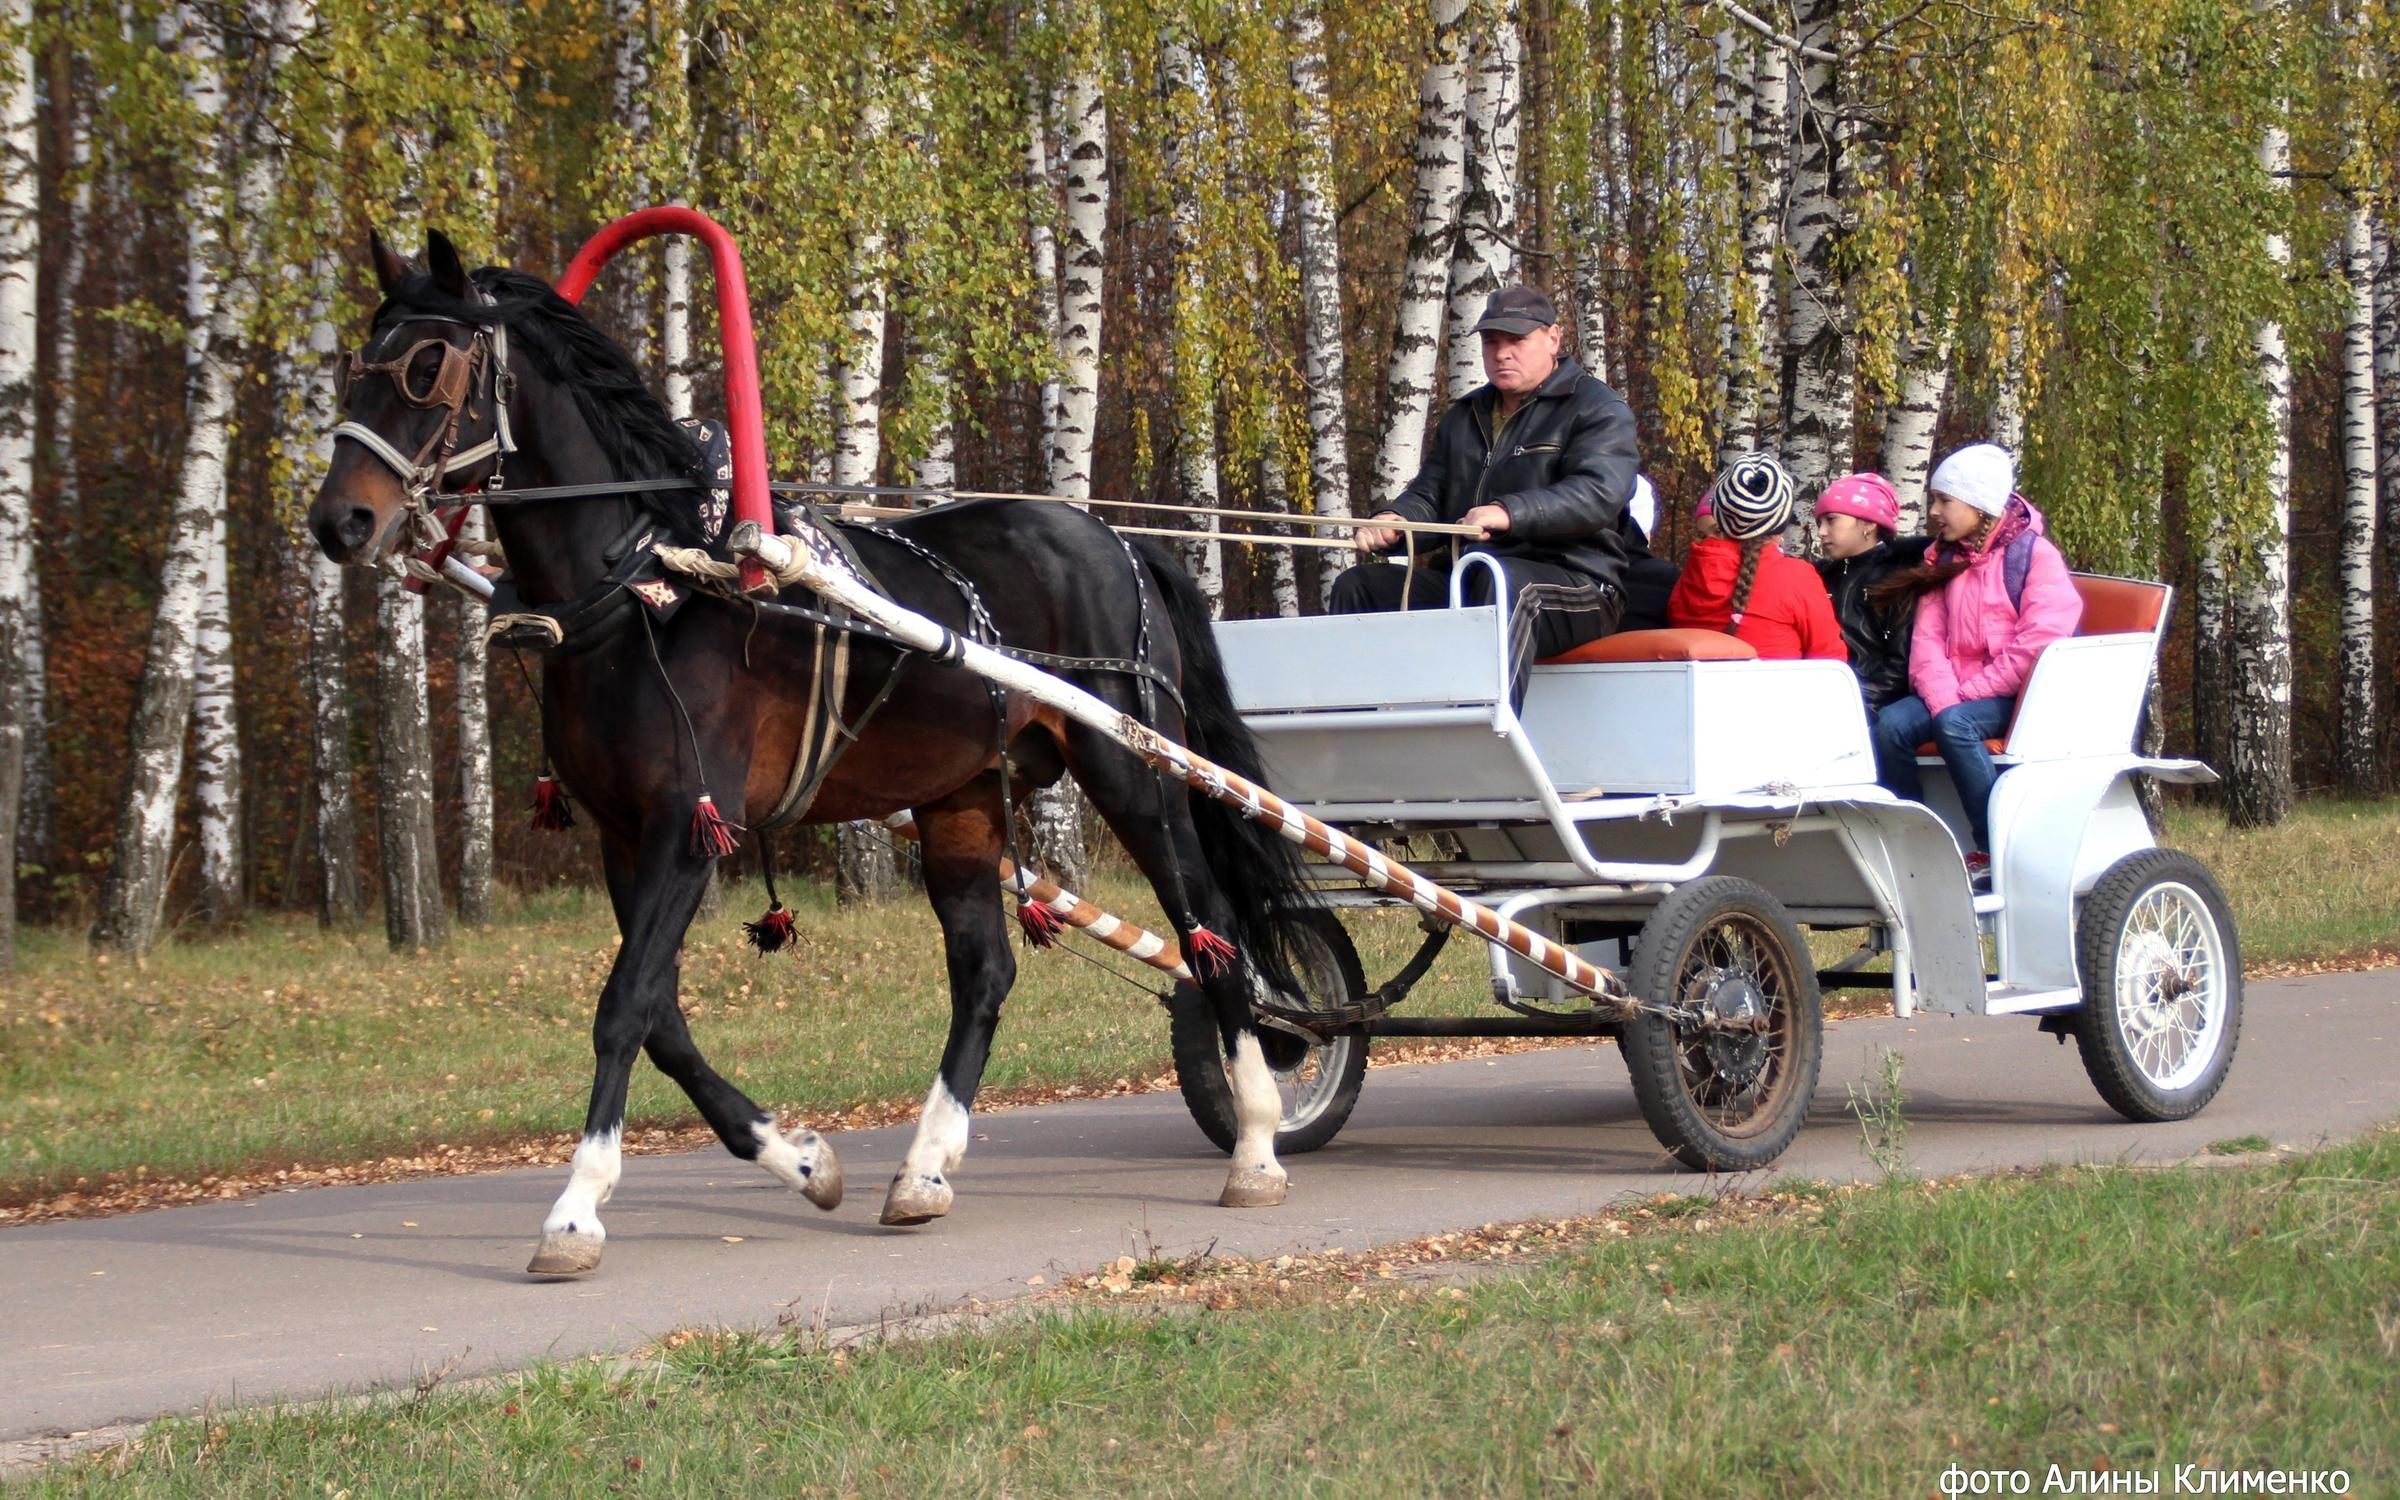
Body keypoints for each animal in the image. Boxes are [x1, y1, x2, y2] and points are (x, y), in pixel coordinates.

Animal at [312, 234, 1324, 1276]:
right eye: (353, 366)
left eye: (428, 367)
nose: (339, 521)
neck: (652, 592)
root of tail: (1113, 538)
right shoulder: (625, 838)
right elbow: (663, 1016)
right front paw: (797, 1158)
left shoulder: (689, 825)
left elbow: (625, 1003)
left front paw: (576, 1208)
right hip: (962, 798)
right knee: (986, 973)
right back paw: (924, 1168)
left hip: (1130, 768)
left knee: (1212, 931)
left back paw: (1255, 1138)